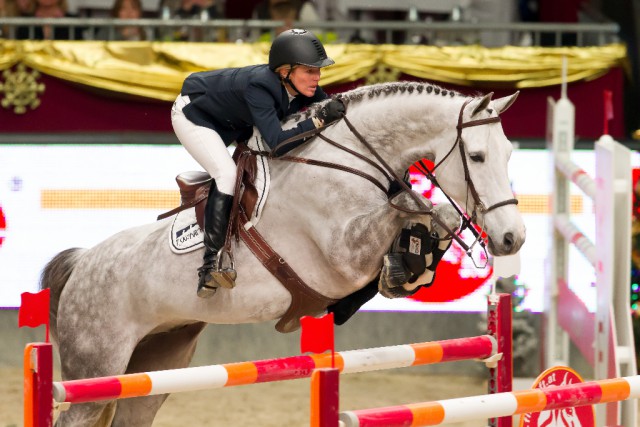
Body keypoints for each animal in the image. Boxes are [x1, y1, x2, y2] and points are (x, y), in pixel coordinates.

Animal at [43, 82, 524, 426]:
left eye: (509, 154)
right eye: (477, 156)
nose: (512, 239)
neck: (349, 161)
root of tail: (82, 263)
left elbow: (424, 210)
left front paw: (411, 264)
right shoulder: (344, 252)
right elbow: (425, 208)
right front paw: (409, 258)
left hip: (157, 366)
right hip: (94, 370)